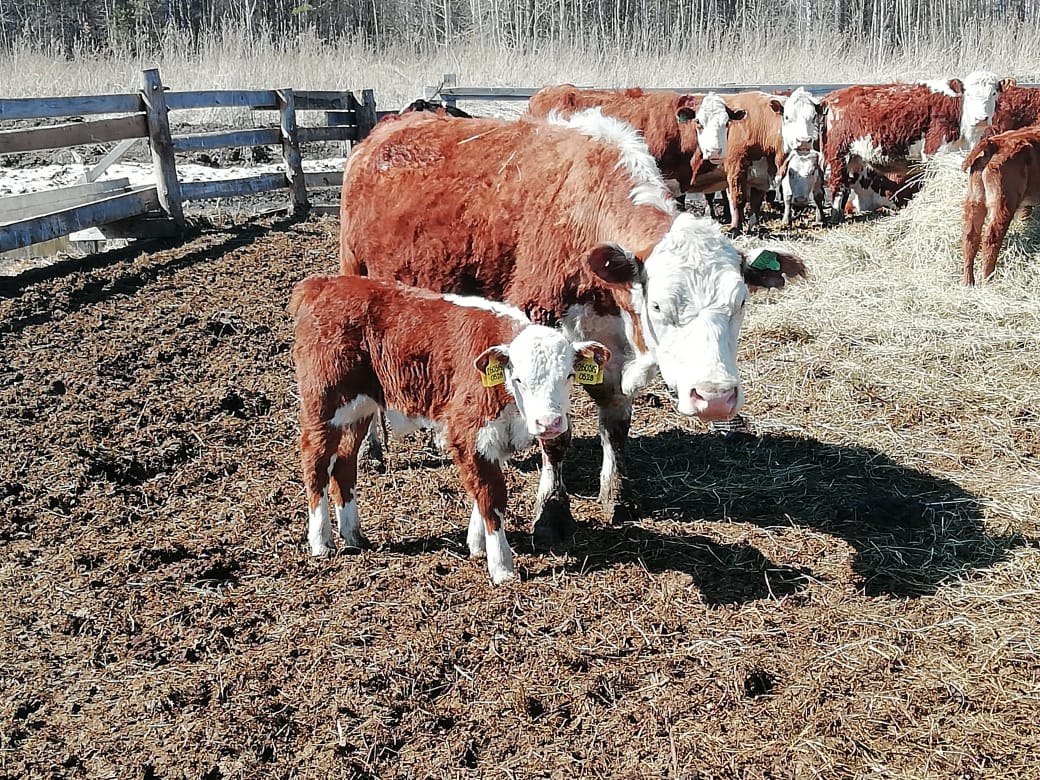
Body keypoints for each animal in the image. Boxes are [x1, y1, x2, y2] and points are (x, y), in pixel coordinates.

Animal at [289, 276, 607, 586]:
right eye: (518, 378)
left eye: (569, 375)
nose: (549, 423)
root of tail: (322, 283)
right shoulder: (467, 432)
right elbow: (491, 496)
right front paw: (502, 567)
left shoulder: (492, 439)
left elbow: (481, 491)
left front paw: (477, 545)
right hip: (323, 404)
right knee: (316, 463)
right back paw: (321, 542)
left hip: (360, 409)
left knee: (344, 463)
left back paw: (353, 535)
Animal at [336, 108, 798, 549]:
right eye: (658, 304)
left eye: (740, 302)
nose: (715, 398)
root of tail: (389, 128)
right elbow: (555, 437)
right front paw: (552, 515)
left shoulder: (610, 348)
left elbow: (616, 423)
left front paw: (616, 494)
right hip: (356, 273)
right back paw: (374, 448)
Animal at [956, 126, 1040, 284]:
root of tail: (994, 144)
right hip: (1003, 202)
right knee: (991, 238)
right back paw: (988, 280)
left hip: (975, 200)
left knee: (970, 236)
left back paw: (968, 282)